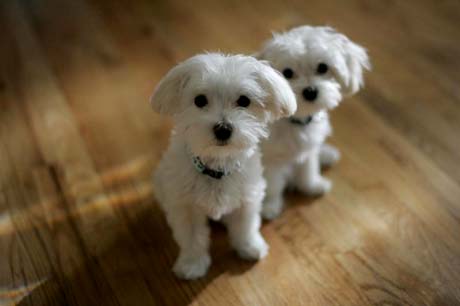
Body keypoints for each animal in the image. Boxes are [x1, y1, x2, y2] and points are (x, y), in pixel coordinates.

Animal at [149, 53, 296, 280]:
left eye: (244, 100)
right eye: (200, 100)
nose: (223, 129)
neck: (217, 166)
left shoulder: (248, 199)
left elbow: (246, 227)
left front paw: (249, 246)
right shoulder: (186, 207)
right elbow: (192, 239)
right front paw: (192, 263)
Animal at [258, 25, 370, 219]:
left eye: (322, 67)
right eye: (287, 73)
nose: (310, 91)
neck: (297, 122)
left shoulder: (309, 149)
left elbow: (308, 170)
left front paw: (311, 186)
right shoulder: (270, 160)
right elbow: (272, 185)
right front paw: (270, 206)